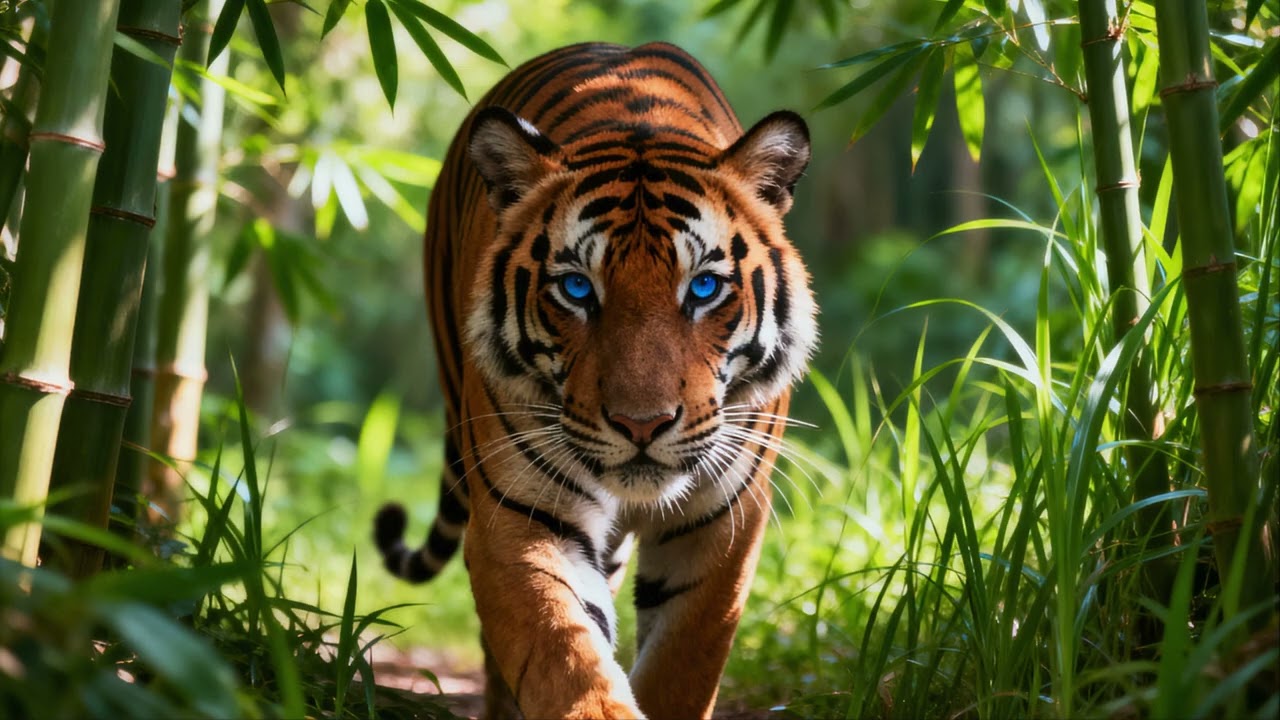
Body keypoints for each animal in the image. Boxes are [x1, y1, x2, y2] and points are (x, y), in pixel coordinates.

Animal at [374, 41, 817, 719]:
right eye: (578, 289)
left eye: (703, 287)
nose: (642, 424)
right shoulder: (520, 517)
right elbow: (564, 654)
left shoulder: (722, 526)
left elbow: (681, 667)